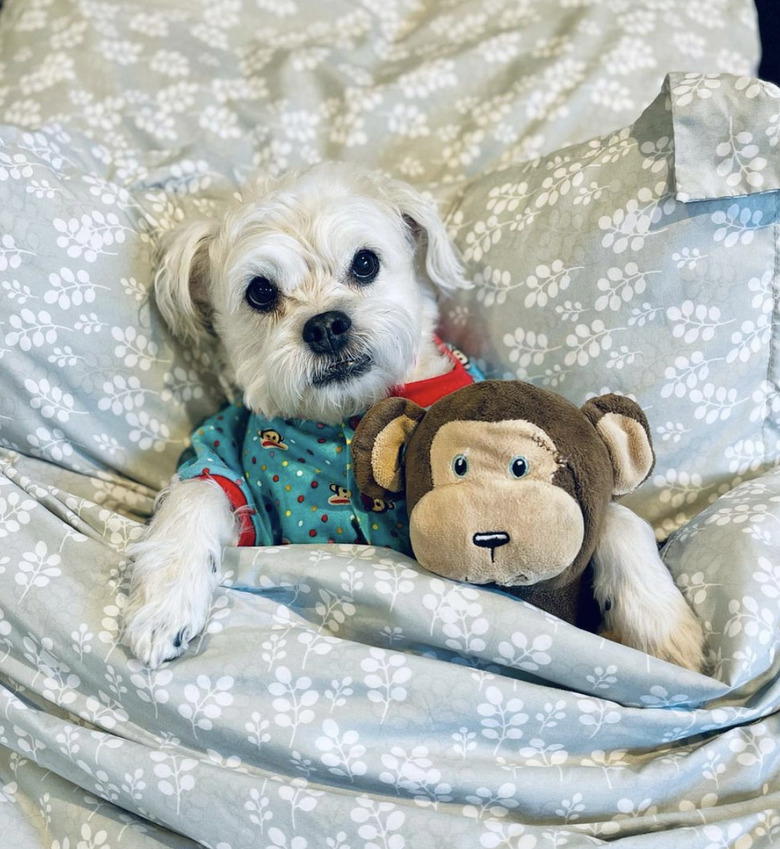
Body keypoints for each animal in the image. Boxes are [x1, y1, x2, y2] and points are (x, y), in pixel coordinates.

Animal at [123, 162, 708, 672]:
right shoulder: (229, 465)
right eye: (260, 291)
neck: (353, 413)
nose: (326, 325)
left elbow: (615, 514)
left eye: (365, 262)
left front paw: (660, 622)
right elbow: (199, 491)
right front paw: (164, 604)